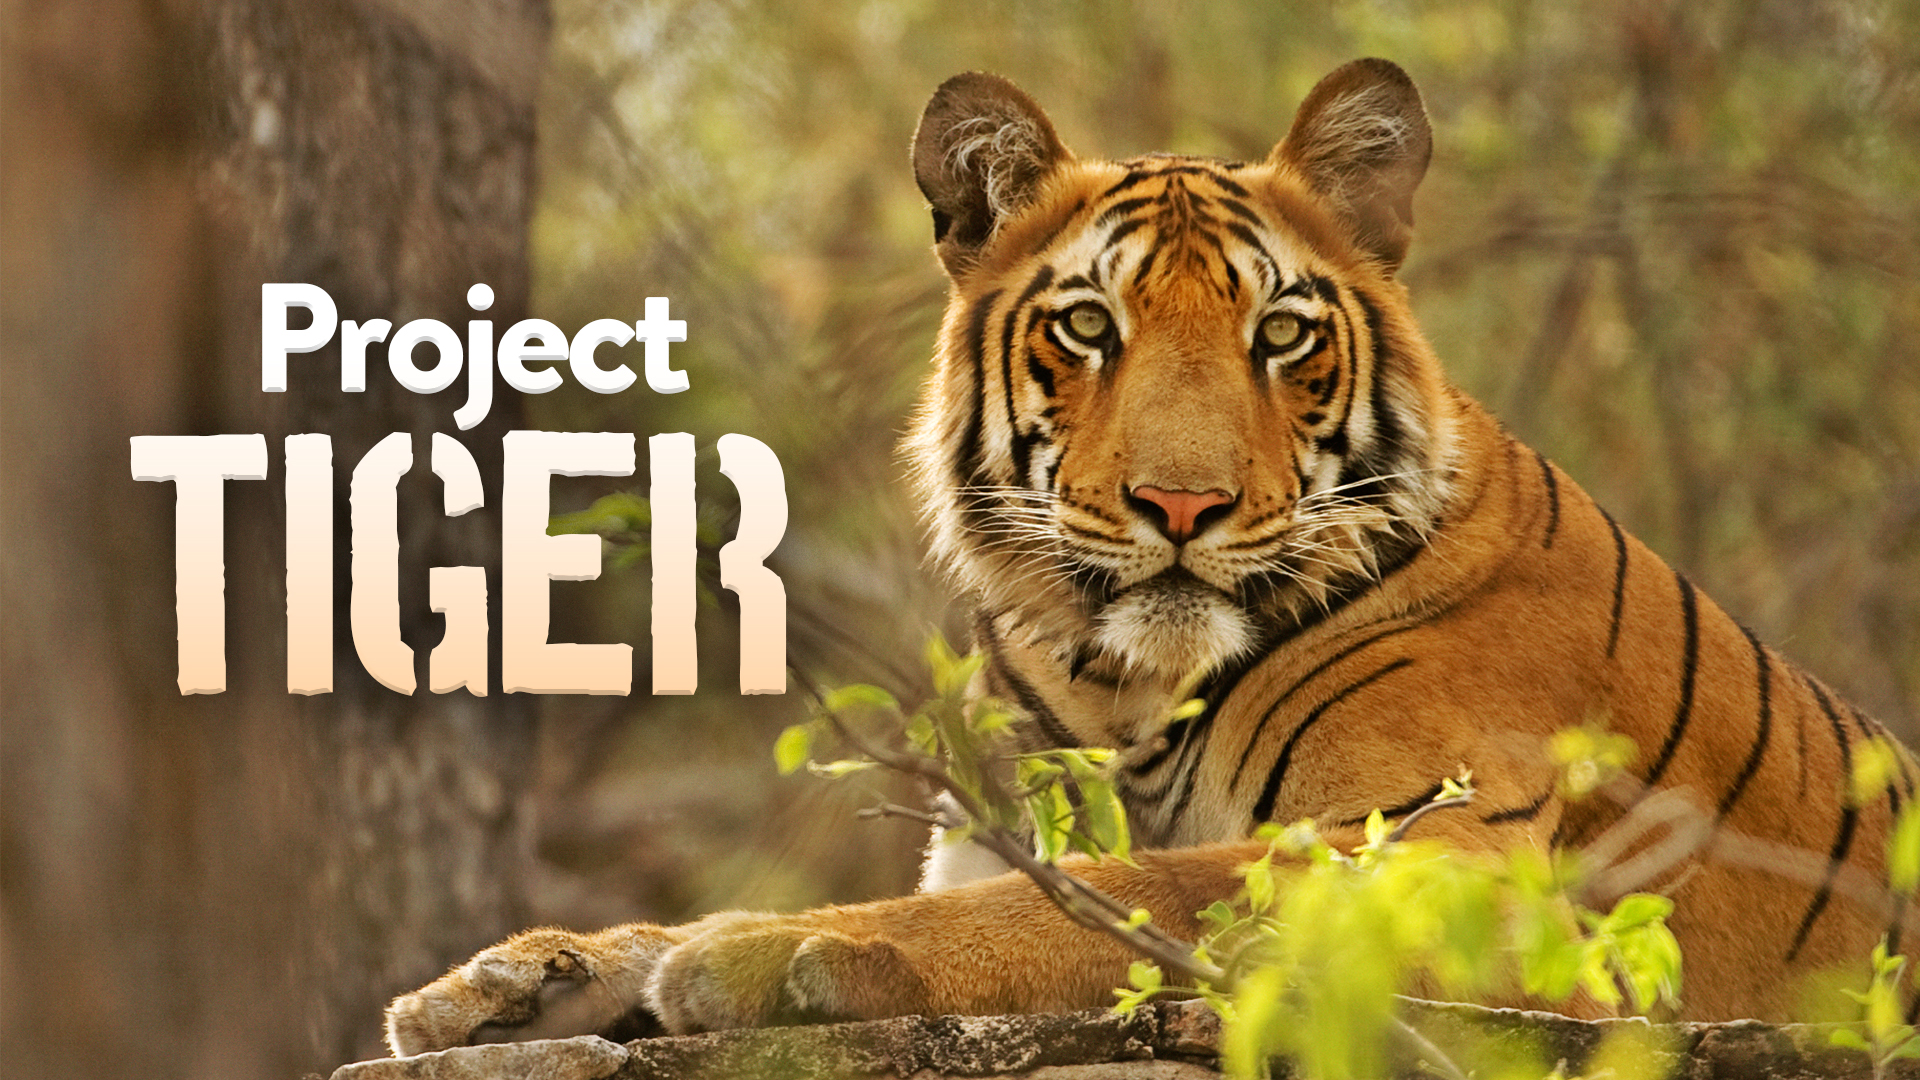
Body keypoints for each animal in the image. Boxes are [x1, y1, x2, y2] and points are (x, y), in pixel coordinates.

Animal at [383, 58, 1916, 1055]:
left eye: (1281, 335)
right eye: (1088, 327)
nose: (1182, 504)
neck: (1123, 691)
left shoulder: (1450, 862)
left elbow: (1124, 896)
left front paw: (759, 953)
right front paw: (522, 978)